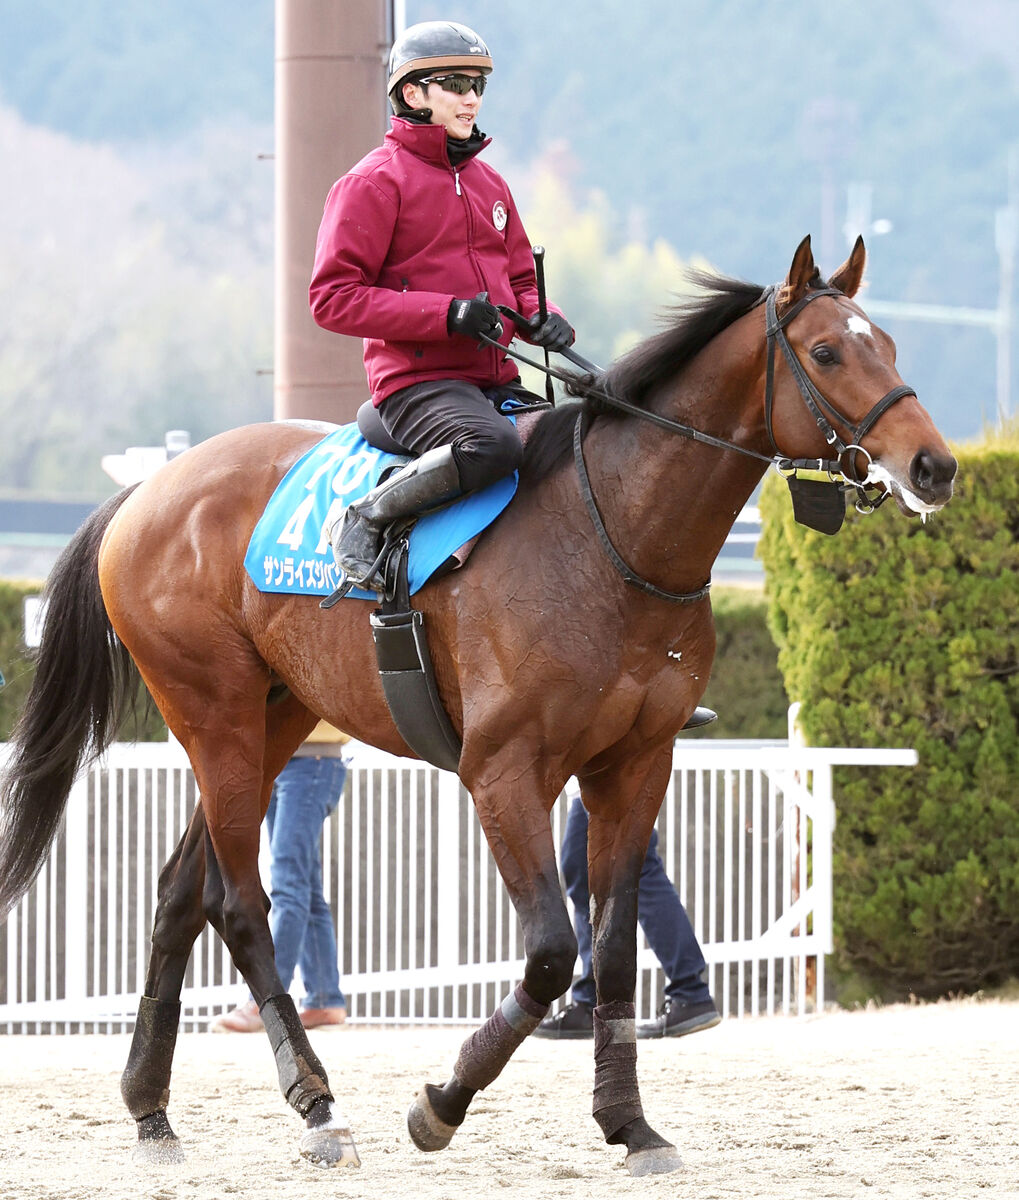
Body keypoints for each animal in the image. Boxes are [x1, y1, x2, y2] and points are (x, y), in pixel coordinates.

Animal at [0, 238, 955, 1176]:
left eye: (888, 345)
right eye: (826, 352)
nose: (933, 466)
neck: (611, 532)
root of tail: (146, 492)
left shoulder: (636, 765)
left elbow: (612, 950)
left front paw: (627, 1122)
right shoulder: (502, 773)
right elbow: (550, 953)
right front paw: (442, 1103)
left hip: (271, 720)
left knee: (177, 894)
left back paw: (150, 1107)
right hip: (214, 715)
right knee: (237, 905)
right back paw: (315, 1104)